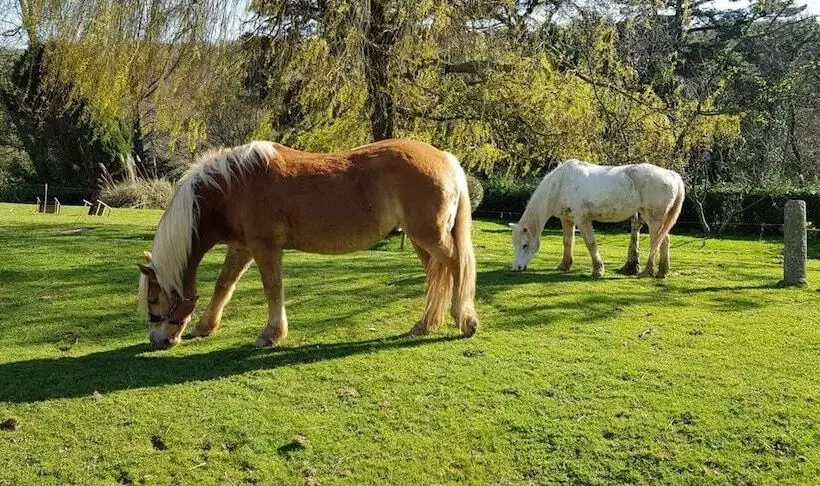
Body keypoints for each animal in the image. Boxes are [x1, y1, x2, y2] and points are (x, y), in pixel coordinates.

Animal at [138, 139, 478, 349]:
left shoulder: (265, 249)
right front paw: (206, 327)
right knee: (439, 276)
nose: (158, 340)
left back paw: (465, 320)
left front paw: (271, 335)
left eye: (154, 299)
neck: (233, 186)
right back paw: (426, 324)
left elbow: (272, 289)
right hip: (423, 242)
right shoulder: (242, 249)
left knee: (458, 266)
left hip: (431, 238)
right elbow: (224, 286)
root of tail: (445, 158)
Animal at [510, 159, 685, 278]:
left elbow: (590, 243)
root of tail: (672, 175)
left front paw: (598, 269)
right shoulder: (567, 219)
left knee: (656, 242)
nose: (516, 268)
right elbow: (567, 242)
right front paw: (564, 265)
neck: (560, 184)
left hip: (654, 219)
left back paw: (648, 271)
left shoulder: (582, 219)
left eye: (525, 245)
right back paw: (662, 272)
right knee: (664, 240)